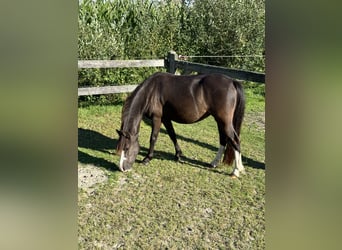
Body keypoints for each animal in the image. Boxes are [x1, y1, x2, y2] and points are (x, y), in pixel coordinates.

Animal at [117, 72, 246, 178]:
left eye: (126, 148)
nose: (123, 168)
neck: (151, 91)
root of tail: (232, 81)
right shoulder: (166, 119)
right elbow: (172, 135)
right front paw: (178, 154)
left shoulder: (157, 118)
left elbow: (153, 138)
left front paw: (147, 158)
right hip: (220, 121)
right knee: (223, 139)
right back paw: (214, 163)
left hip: (224, 121)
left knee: (235, 140)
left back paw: (236, 171)